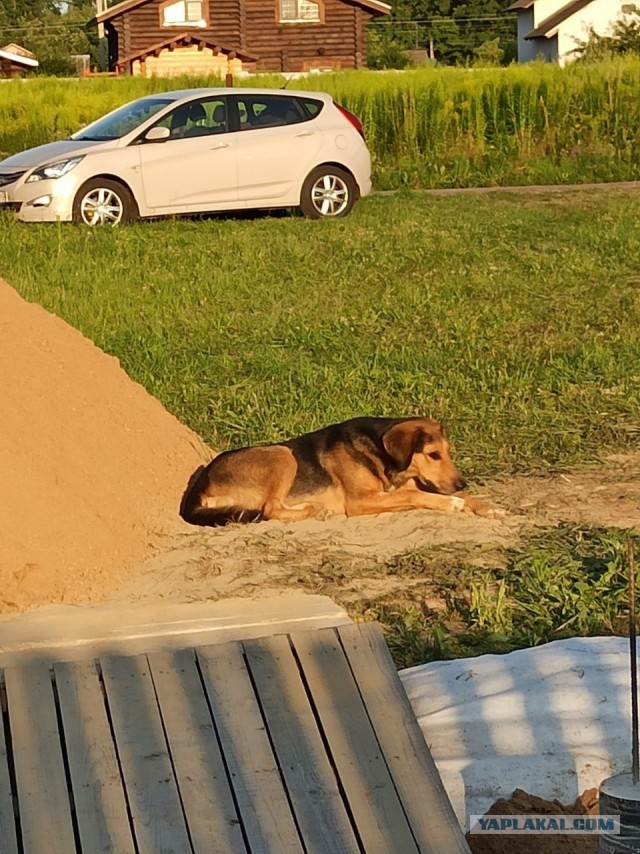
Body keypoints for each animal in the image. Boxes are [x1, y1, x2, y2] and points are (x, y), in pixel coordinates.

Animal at [179, 416, 500, 528]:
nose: (461, 483)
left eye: (449, 452)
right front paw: (453, 503)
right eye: (433, 455)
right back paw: (315, 511)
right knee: (270, 510)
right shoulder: (361, 501)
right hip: (283, 454)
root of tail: (199, 485)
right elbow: (420, 498)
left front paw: (486, 506)